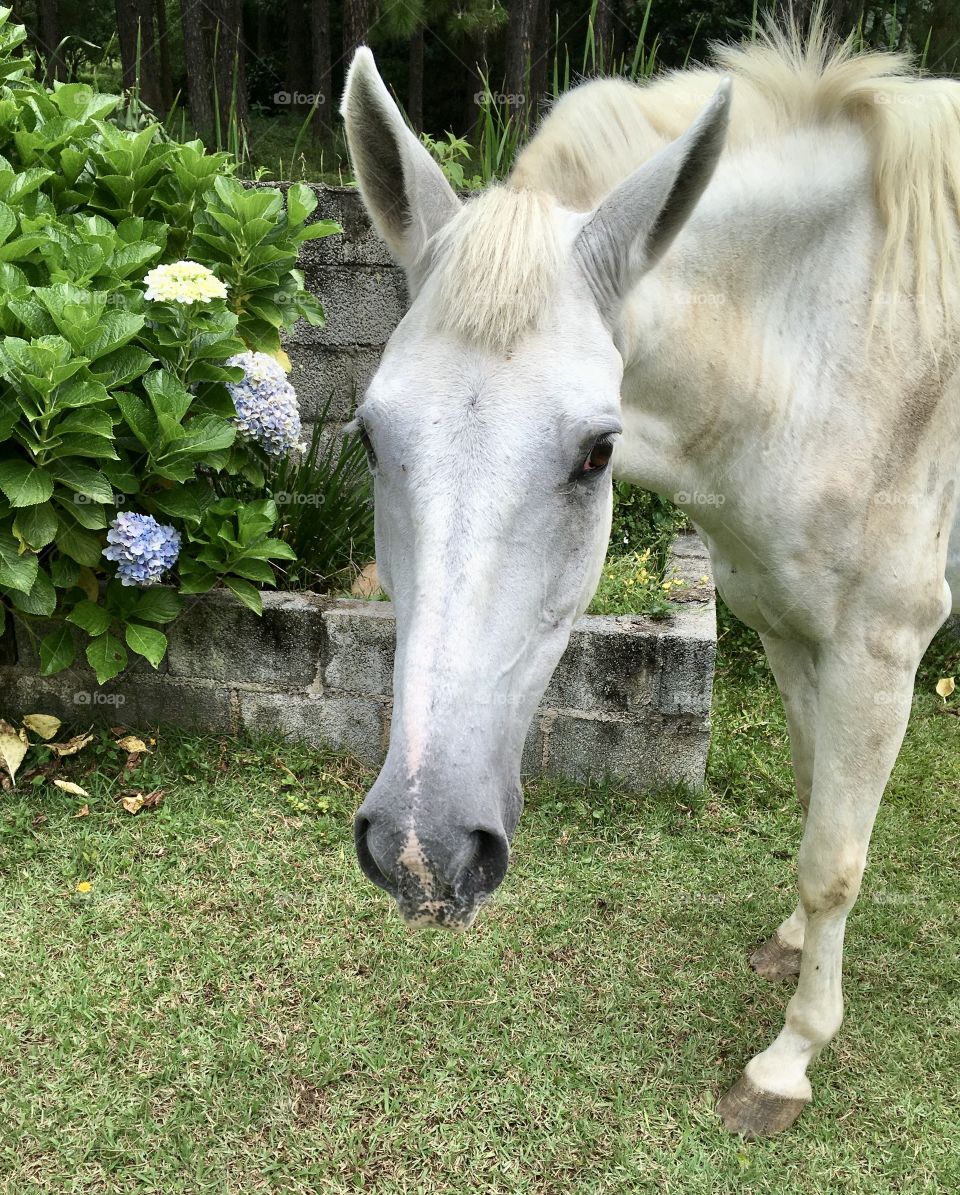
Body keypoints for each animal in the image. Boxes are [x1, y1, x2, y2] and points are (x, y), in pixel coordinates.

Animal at [339, 21, 960, 1137]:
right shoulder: (790, 630)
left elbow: (837, 860)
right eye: (371, 435)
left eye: (598, 453)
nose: (420, 848)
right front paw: (791, 950)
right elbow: (818, 808)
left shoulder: (881, 649)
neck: (851, 336)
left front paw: (787, 1060)